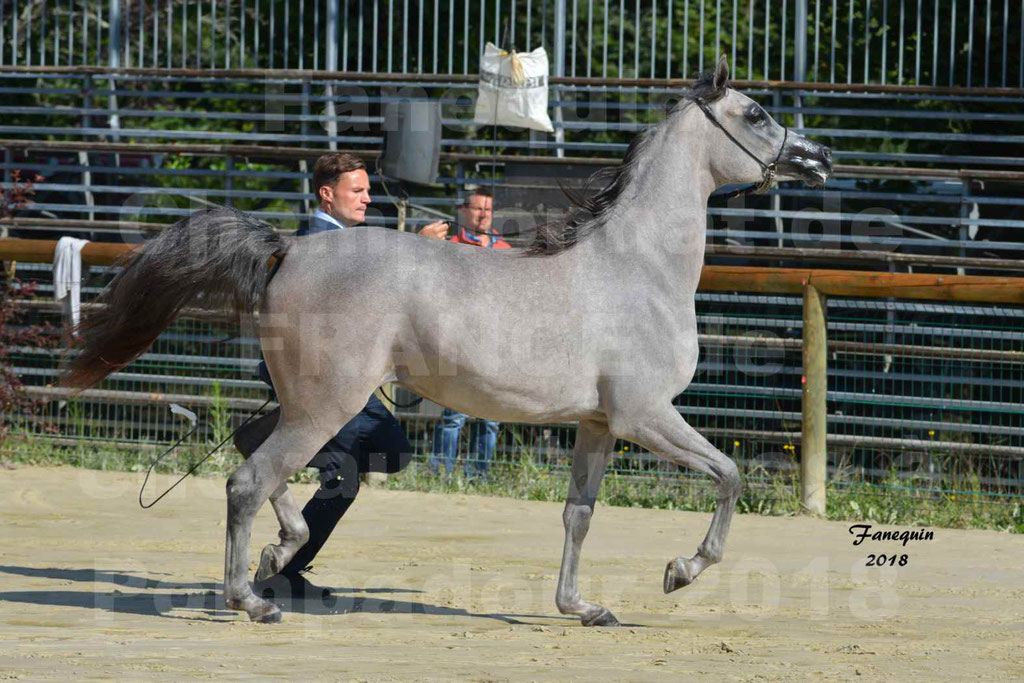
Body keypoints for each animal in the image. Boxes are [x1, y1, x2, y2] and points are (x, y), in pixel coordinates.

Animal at [61, 58, 831, 626]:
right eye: (756, 115)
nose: (818, 157)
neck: (636, 268)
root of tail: (291, 248)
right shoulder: (646, 415)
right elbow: (729, 476)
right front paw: (679, 572)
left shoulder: (597, 424)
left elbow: (578, 515)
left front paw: (581, 607)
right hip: (329, 403)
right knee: (252, 478)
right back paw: (254, 597)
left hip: (304, 400)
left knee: (260, 459)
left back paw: (283, 554)